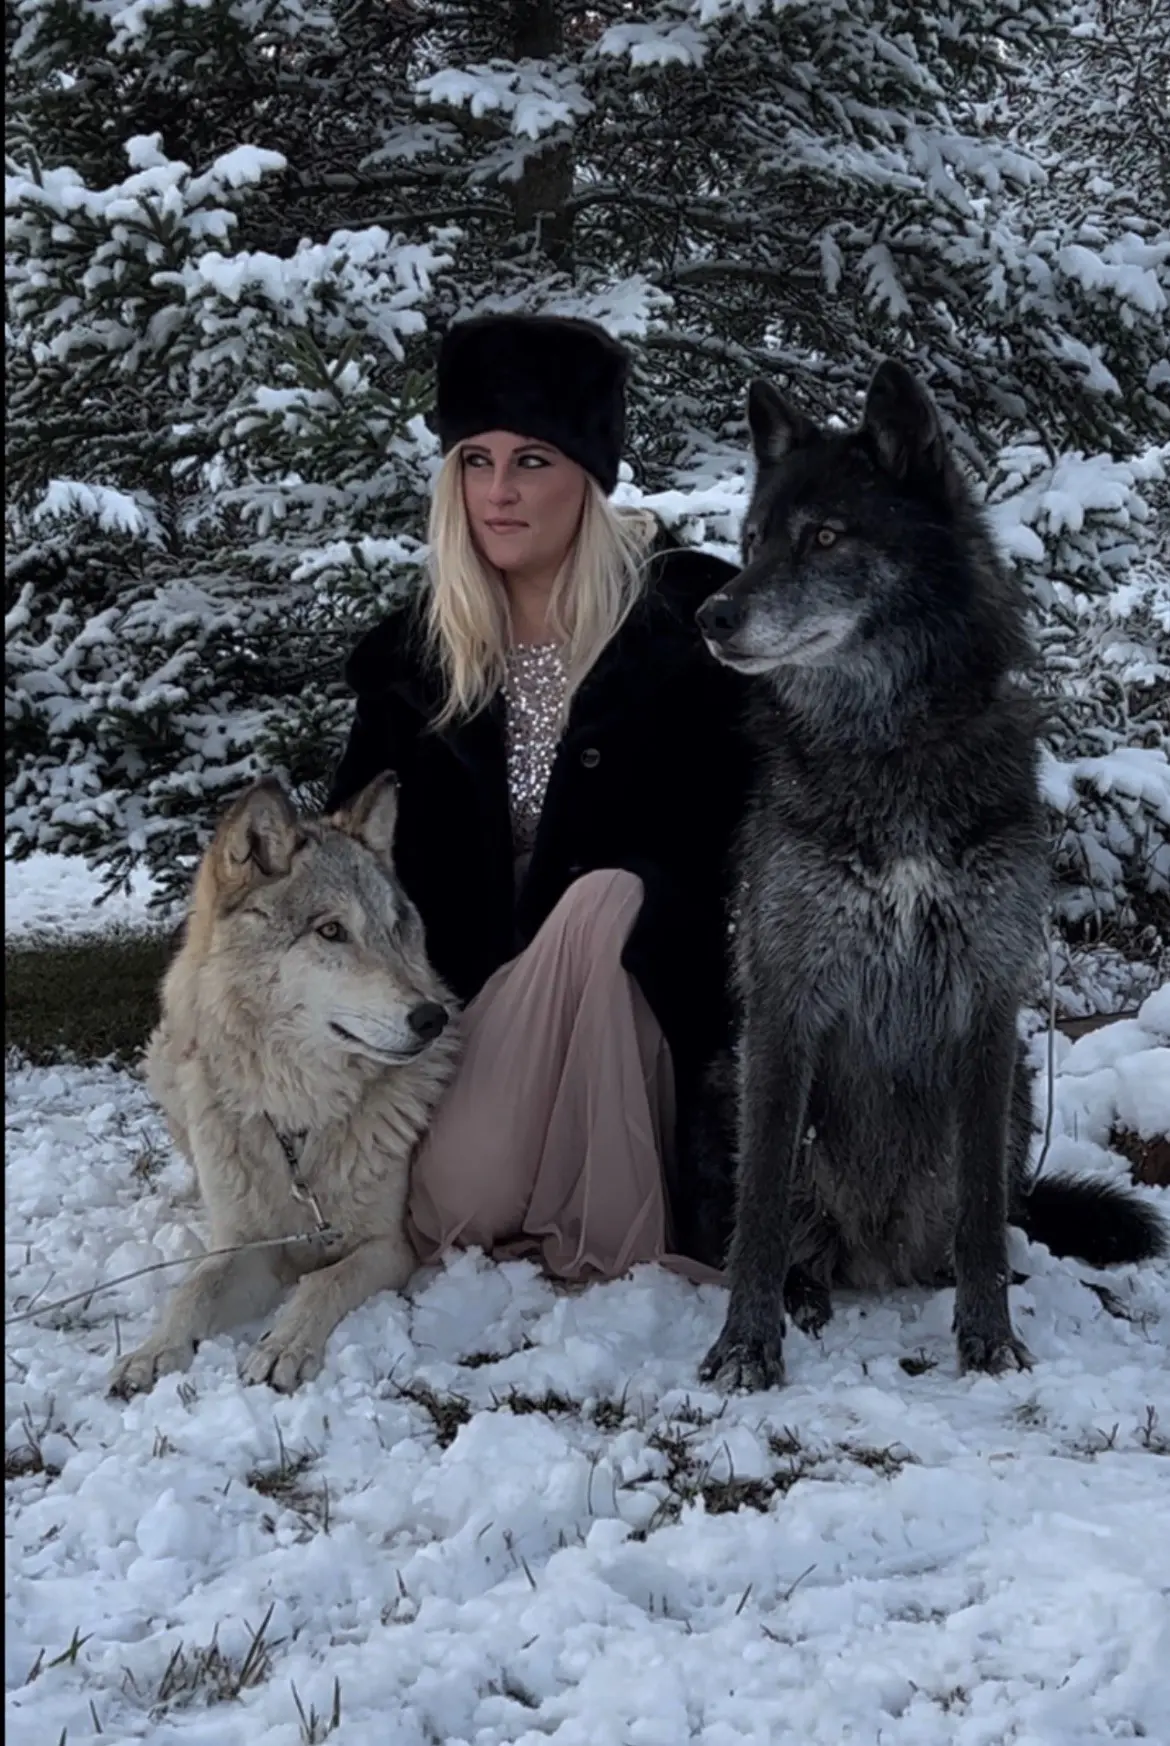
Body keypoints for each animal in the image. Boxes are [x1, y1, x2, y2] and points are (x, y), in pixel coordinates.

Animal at [108, 773, 459, 1398]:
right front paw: (151, 1352)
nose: (432, 1018)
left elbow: (322, 1283)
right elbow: (193, 1287)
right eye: (331, 931)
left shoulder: (390, 1245)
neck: (299, 1116)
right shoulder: (247, 1247)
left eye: (396, 928)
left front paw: (283, 1346)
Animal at [693, 360, 1167, 1392]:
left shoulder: (988, 1003)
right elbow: (759, 1209)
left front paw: (988, 1338)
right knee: (789, 1228)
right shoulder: (784, 1003)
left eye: (825, 536)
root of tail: (876, 1257)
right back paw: (804, 1291)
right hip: (726, 1074)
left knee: (998, 1216)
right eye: (750, 543)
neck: (891, 752)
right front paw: (745, 1347)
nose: (712, 614)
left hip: (1021, 1085)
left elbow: (986, 1211)